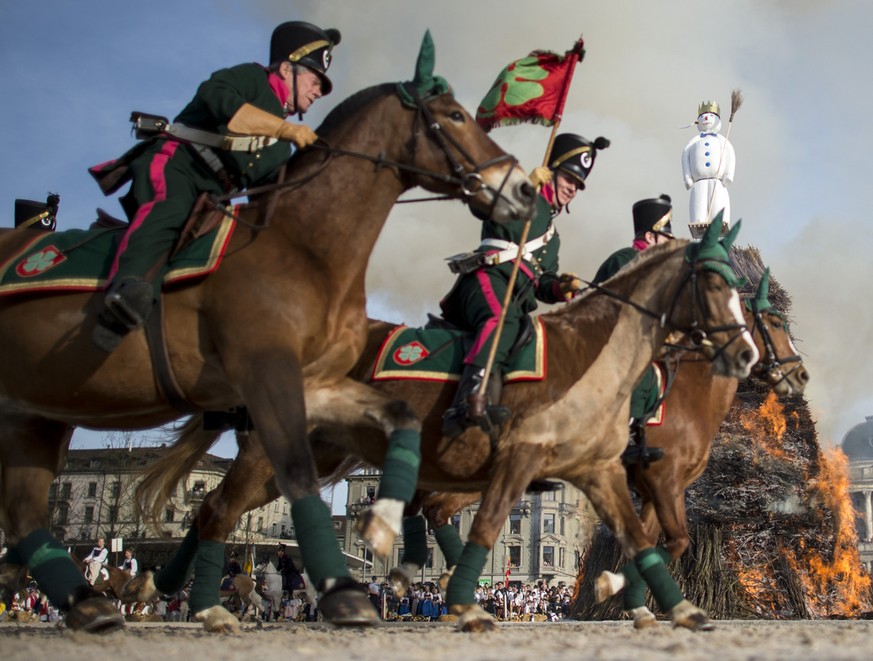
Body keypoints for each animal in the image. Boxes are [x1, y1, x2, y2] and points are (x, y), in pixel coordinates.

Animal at [135, 220, 756, 628]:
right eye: (713, 282)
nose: (751, 355)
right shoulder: (538, 463)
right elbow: (494, 529)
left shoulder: (603, 474)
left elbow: (648, 538)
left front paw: (661, 603)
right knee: (223, 508)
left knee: (228, 510)